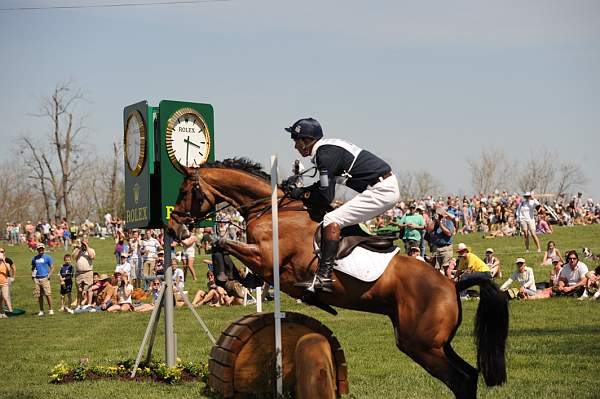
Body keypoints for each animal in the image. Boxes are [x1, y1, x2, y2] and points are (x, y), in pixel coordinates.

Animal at [166, 159, 508, 399]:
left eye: (184, 192)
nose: (173, 229)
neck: (270, 209)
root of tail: (452, 284)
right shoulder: (263, 263)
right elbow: (230, 254)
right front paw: (234, 279)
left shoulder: (267, 257)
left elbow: (219, 242)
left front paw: (225, 277)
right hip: (431, 343)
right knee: (469, 376)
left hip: (422, 344)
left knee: (461, 380)